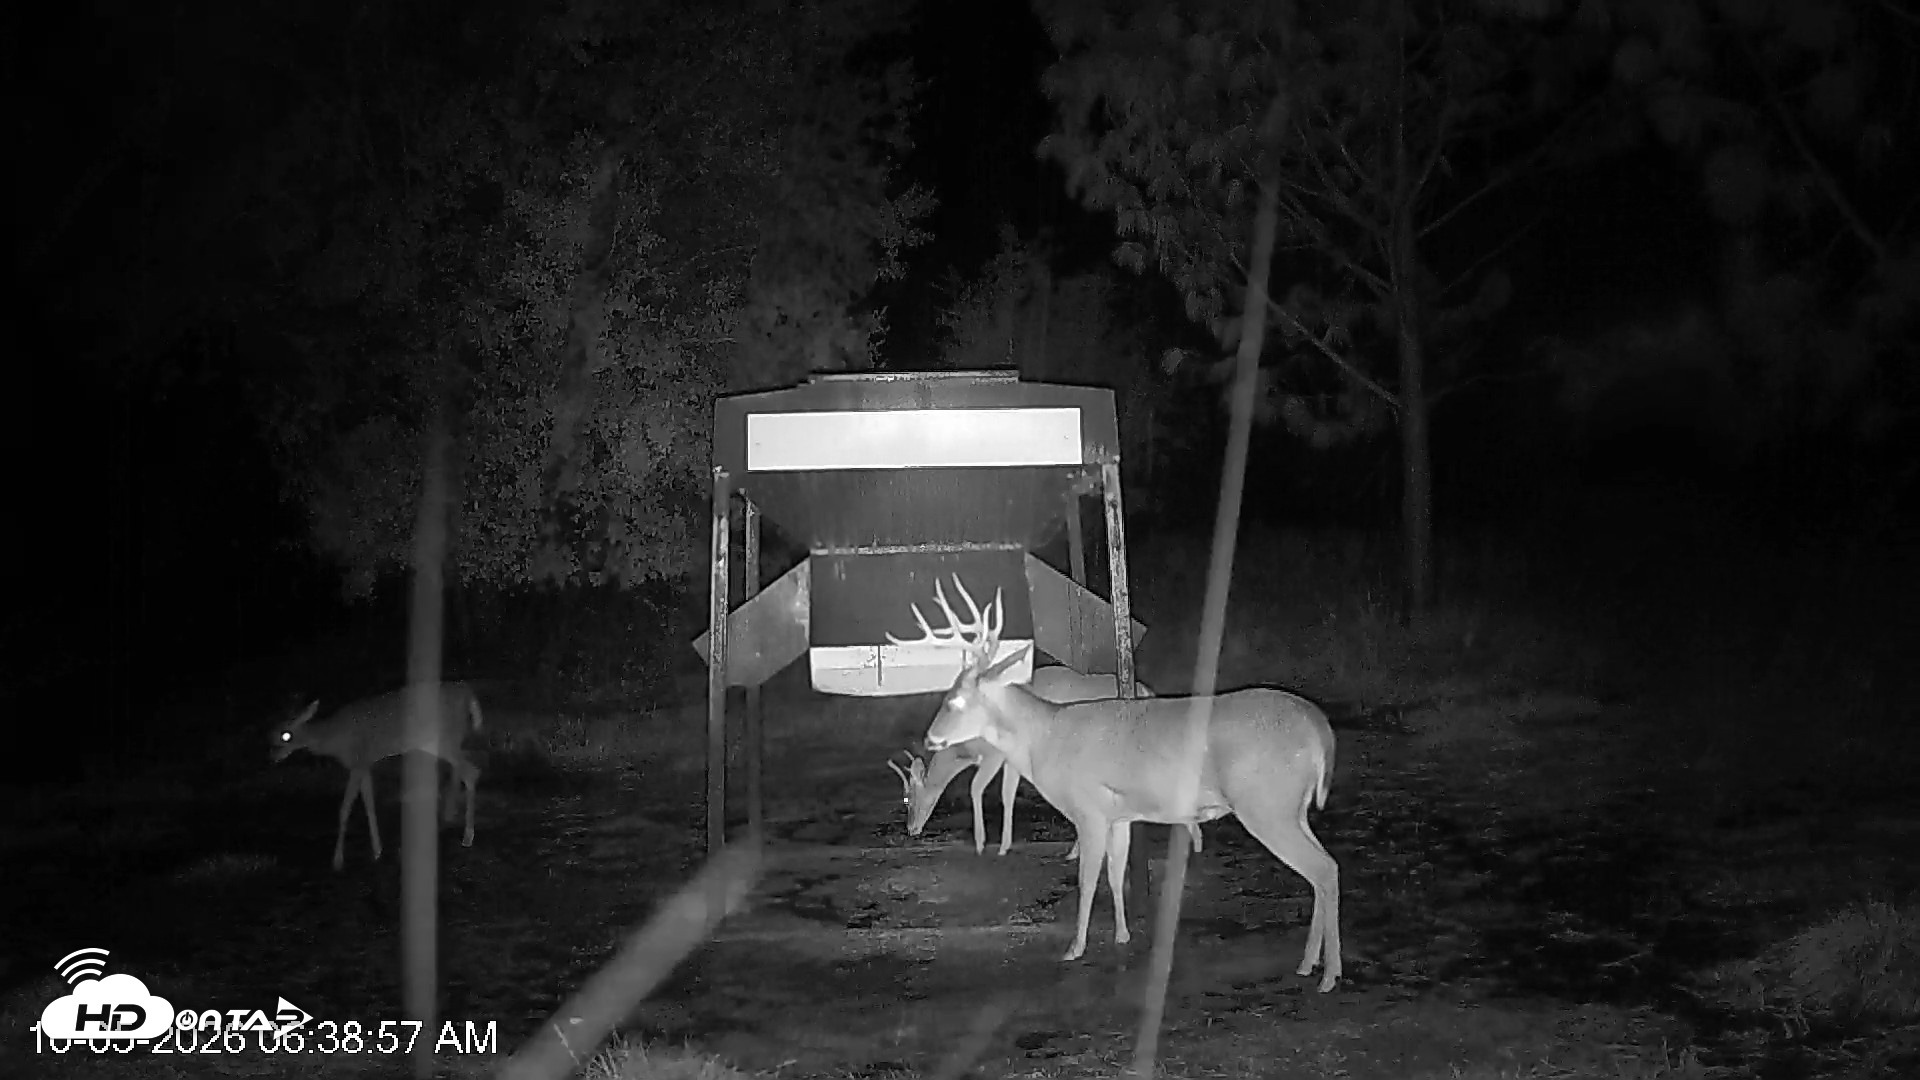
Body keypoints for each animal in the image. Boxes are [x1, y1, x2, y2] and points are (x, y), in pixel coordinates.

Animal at [269, 682, 485, 871]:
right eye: (272, 731)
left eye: (286, 735)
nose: (272, 756)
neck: (333, 739)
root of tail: (466, 691)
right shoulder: (365, 764)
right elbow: (369, 805)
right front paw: (377, 850)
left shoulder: (357, 762)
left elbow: (345, 809)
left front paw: (337, 861)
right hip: (440, 742)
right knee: (464, 769)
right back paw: (452, 818)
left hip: (446, 738)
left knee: (471, 772)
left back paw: (467, 837)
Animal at [897, 575, 1342, 991]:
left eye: (953, 701)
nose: (930, 738)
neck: (1046, 738)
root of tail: (1321, 732)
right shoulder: (1120, 814)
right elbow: (1114, 873)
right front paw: (1124, 934)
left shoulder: (1089, 810)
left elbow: (1087, 878)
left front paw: (1075, 948)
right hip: (1292, 808)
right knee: (1327, 867)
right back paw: (1309, 963)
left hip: (1267, 804)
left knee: (1323, 870)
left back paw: (1328, 975)